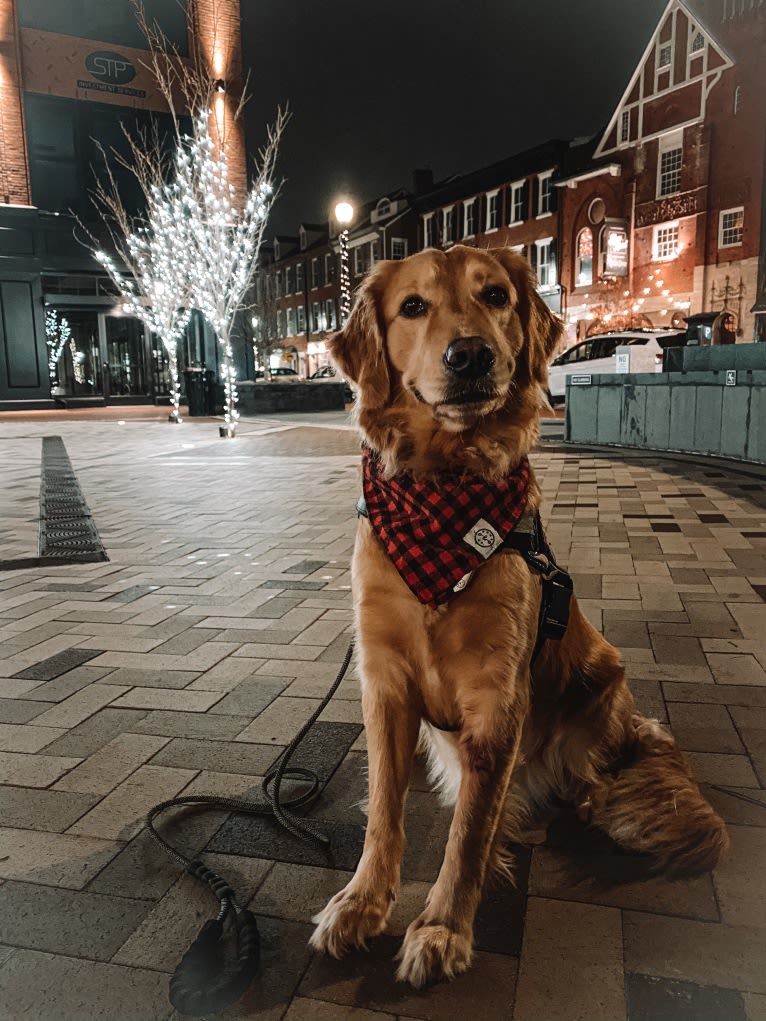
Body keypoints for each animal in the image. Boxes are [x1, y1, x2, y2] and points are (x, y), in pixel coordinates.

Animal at [308, 242, 727, 984]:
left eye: (496, 296)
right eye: (412, 306)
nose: (471, 355)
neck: (442, 494)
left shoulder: (497, 695)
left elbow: (471, 831)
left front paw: (442, 928)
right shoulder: (383, 680)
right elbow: (385, 811)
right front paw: (361, 902)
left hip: (602, 677)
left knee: (588, 774)